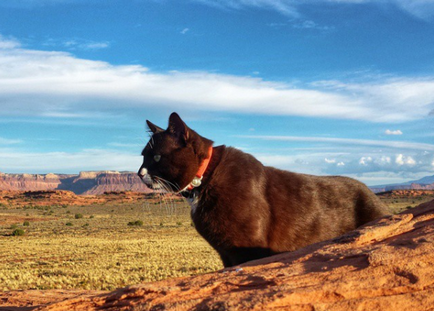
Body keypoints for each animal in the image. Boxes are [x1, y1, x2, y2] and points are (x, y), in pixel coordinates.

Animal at [137, 112, 388, 268]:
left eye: (156, 157)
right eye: (143, 156)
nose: (139, 173)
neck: (206, 178)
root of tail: (372, 194)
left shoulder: (247, 248)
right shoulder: (225, 253)